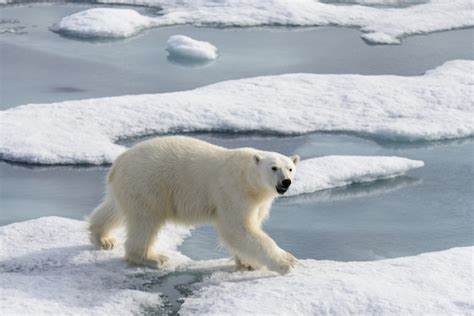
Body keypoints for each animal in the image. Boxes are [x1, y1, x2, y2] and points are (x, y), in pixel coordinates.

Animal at [88, 136, 300, 274]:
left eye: (290, 168)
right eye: (274, 168)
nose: (286, 182)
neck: (248, 178)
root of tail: (118, 163)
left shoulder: (256, 201)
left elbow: (249, 226)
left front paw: (248, 263)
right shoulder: (233, 192)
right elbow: (239, 229)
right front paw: (287, 262)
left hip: (129, 187)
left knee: (113, 209)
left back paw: (103, 238)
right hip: (147, 184)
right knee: (145, 222)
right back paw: (153, 258)